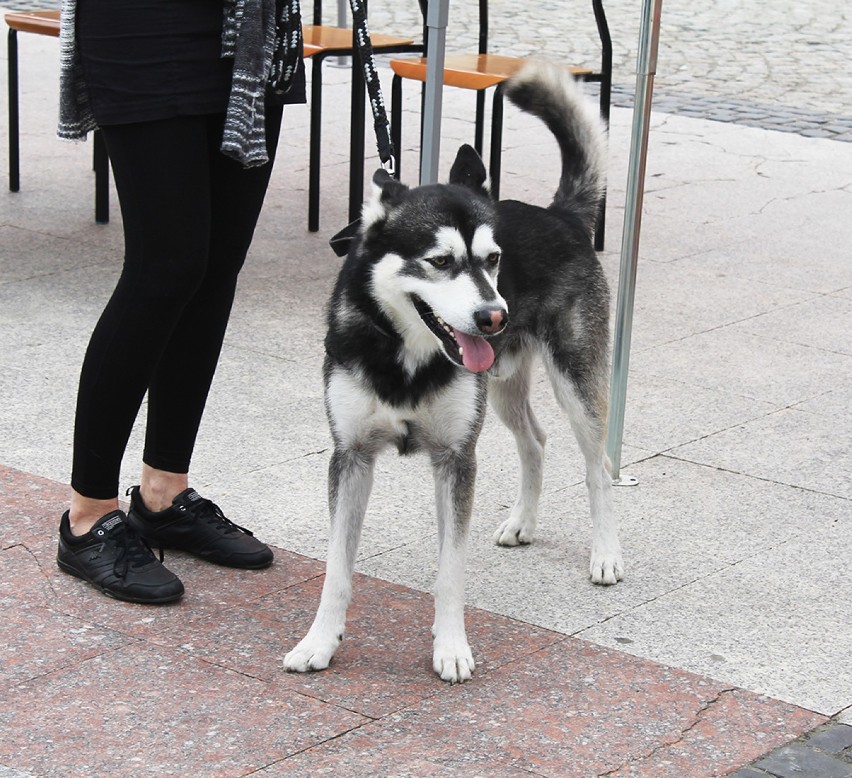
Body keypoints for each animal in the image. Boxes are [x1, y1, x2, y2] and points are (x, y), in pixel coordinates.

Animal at [282, 59, 624, 680]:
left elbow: (449, 571)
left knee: (598, 466)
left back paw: (606, 552)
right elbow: (337, 569)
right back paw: (523, 521)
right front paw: (319, 642)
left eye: (493, 259)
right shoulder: (351, 457)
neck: (406, 356)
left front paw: (451, 647)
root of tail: (559, 214)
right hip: (503, 388)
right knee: (535, 441)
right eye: (439, 262)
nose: (493, 316)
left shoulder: (455, 459)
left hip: (575, 382)